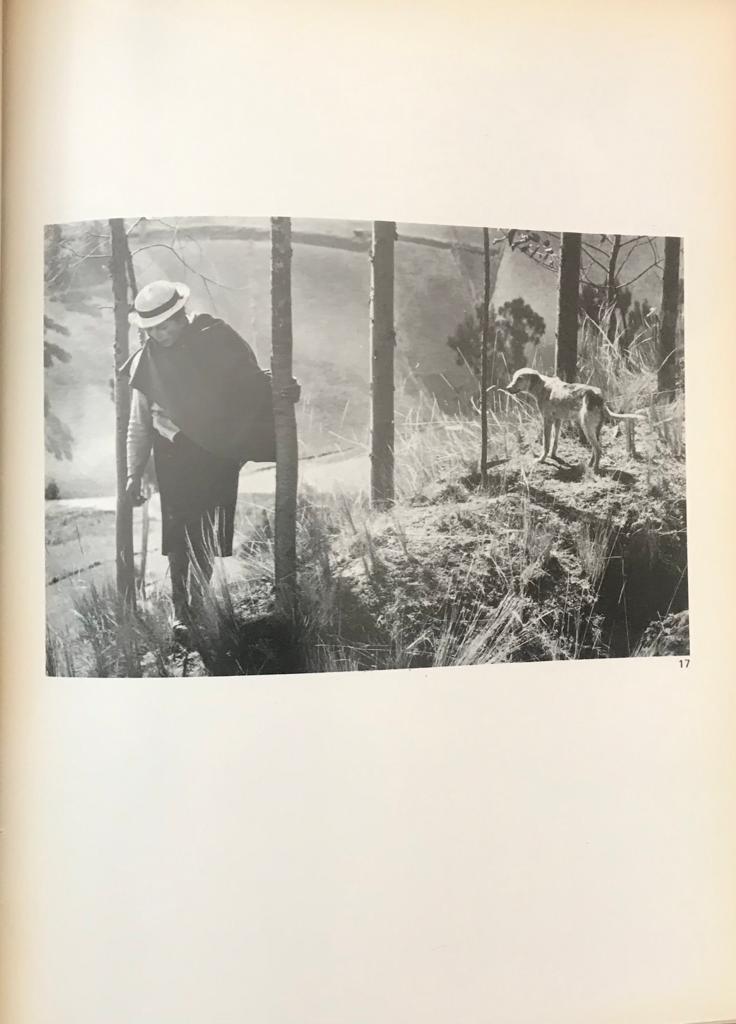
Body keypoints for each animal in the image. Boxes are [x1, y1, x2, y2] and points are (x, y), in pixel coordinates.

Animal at [507, 368, 646, 471]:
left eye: (519, 379)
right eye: (513, 378)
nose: (507, 388)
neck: (543, 386)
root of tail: (599, 397)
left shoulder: (547, 420)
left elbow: (546, 444)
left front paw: (541, 459)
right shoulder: (558, 420)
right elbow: (555, 441)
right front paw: (553, 456)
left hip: (586, 427)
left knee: (598, 449)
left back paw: (595, 469)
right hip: (594, 429)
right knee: (595, 449)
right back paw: (590, 465)